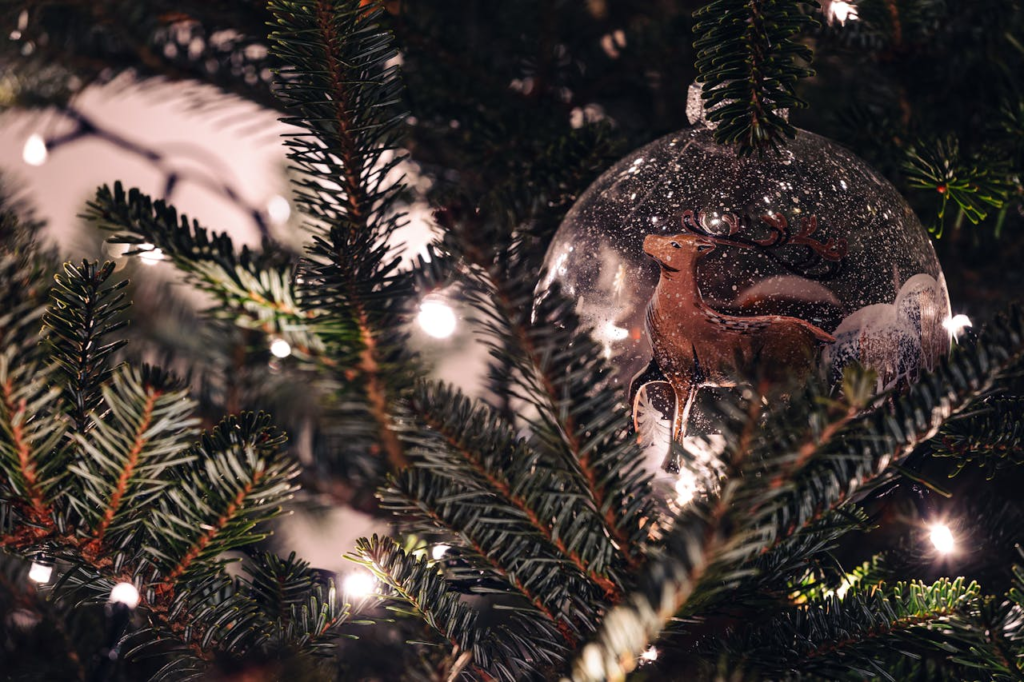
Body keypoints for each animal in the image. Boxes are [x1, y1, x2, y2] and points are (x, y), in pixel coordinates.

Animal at [630, 214, 838, 444]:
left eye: (675, 244)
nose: (647, 238)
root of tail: (819, 337)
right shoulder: (658, 363)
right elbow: (634, 386)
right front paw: (633, 437)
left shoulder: (684, 373)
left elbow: (679, 426)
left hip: (784, 379)